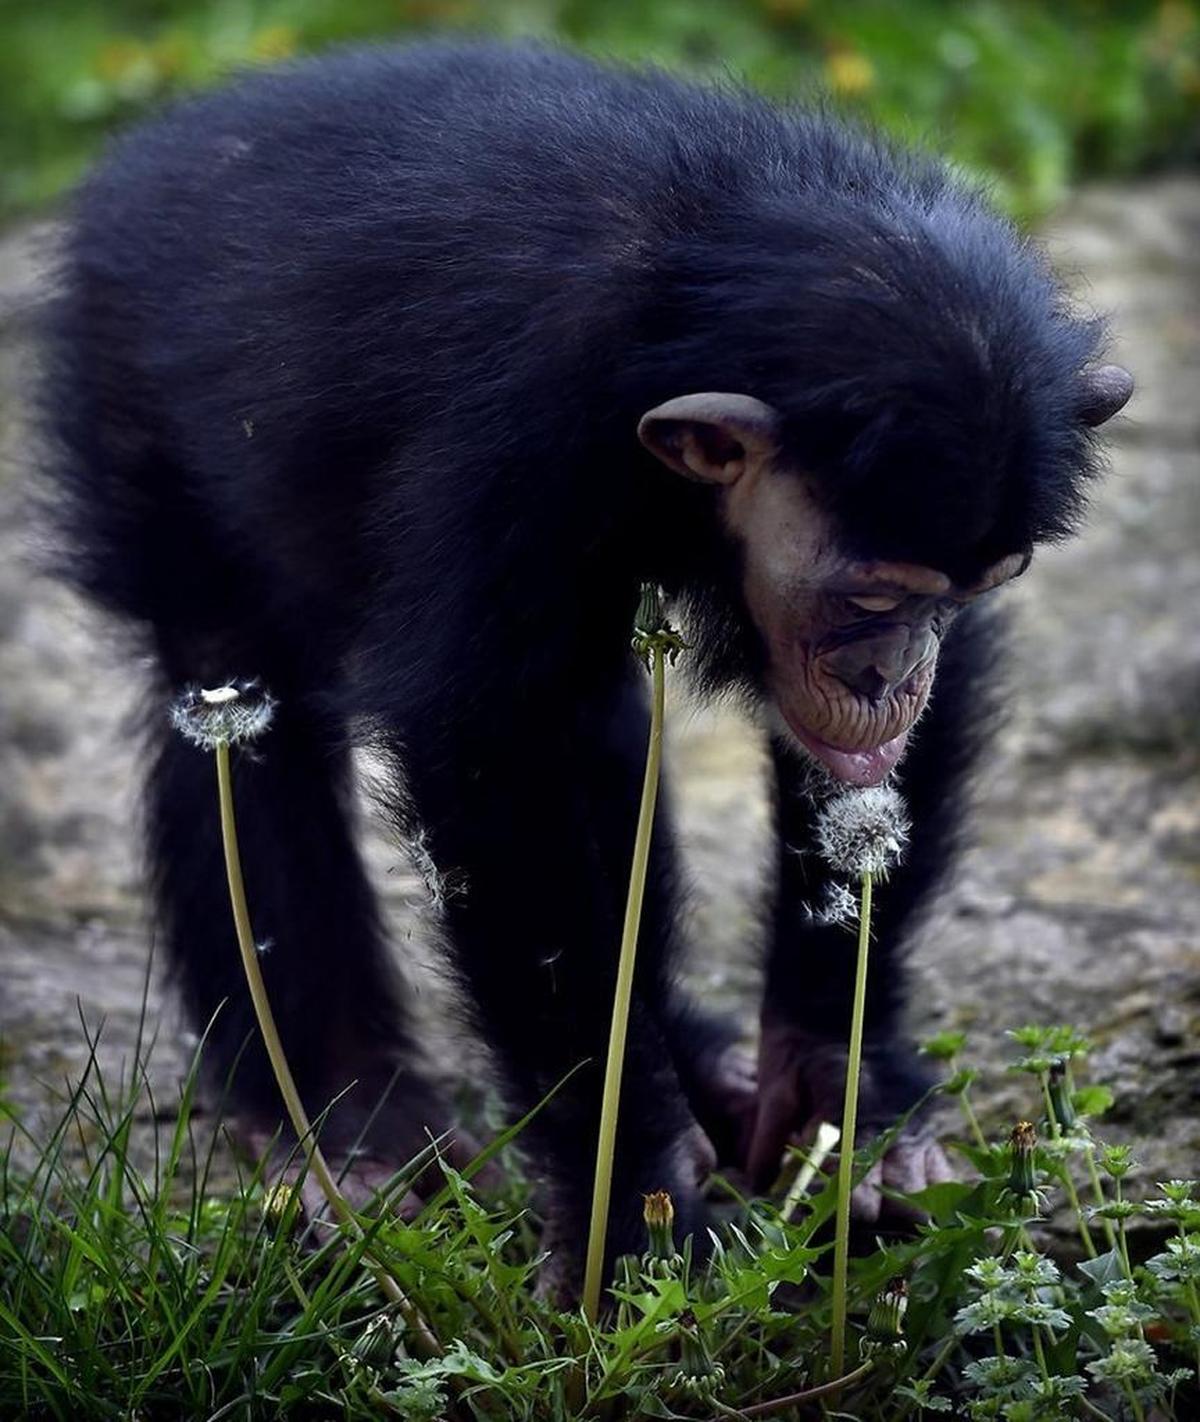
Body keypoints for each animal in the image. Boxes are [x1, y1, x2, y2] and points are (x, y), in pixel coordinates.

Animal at [40, 39, 1132, 1280]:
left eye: (964, 594)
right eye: (868, 601)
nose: (892, 674)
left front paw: (838, 1079)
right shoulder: (526, 423)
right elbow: (494, 757)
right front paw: (628, 1206)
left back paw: (693, 1058)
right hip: (133, 392)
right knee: (240, 703)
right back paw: (353, 1120)